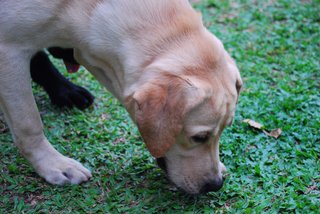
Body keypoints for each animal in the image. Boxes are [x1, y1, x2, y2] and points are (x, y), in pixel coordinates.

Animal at [0, 0, 240, 195]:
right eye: (199, 137)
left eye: (224, 130)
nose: (215, 185)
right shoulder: (9, 49)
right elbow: (28, 124)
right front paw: (54, 165)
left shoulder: (92, 54)